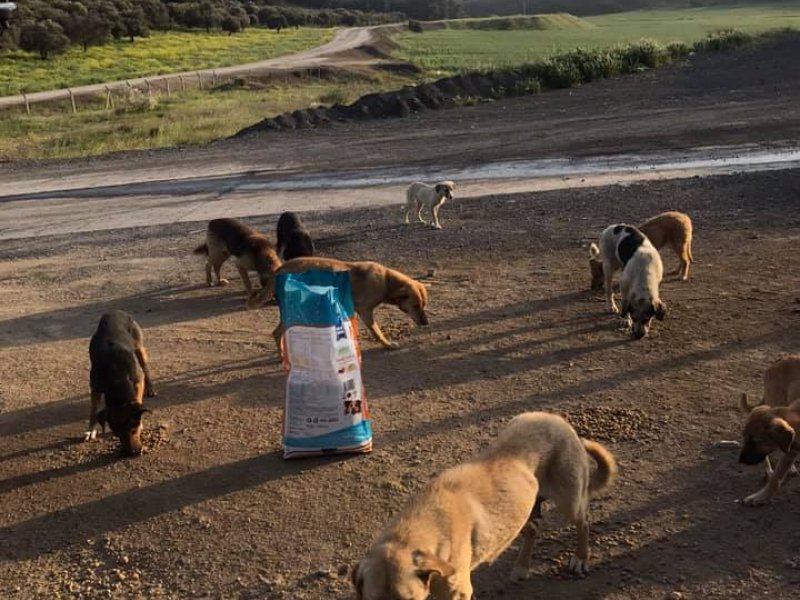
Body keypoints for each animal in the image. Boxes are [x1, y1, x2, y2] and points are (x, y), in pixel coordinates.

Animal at [86, 312, 157, 458]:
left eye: (134, 430)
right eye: (116, 433)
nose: (132, 452)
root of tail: (115, 312)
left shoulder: (138, 380)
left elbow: (137, 398)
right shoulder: (95, 387)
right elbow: (94, 410)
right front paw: (91, 430)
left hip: (138, 345)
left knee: (145, 367)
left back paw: (150, 388)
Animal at [352, 412, 620, 600]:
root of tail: (557, 419)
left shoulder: (457, 593)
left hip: (569, 500)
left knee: (583, 522)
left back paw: (580, 558)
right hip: (518, 511)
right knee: (533, 529)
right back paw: (521, 567)